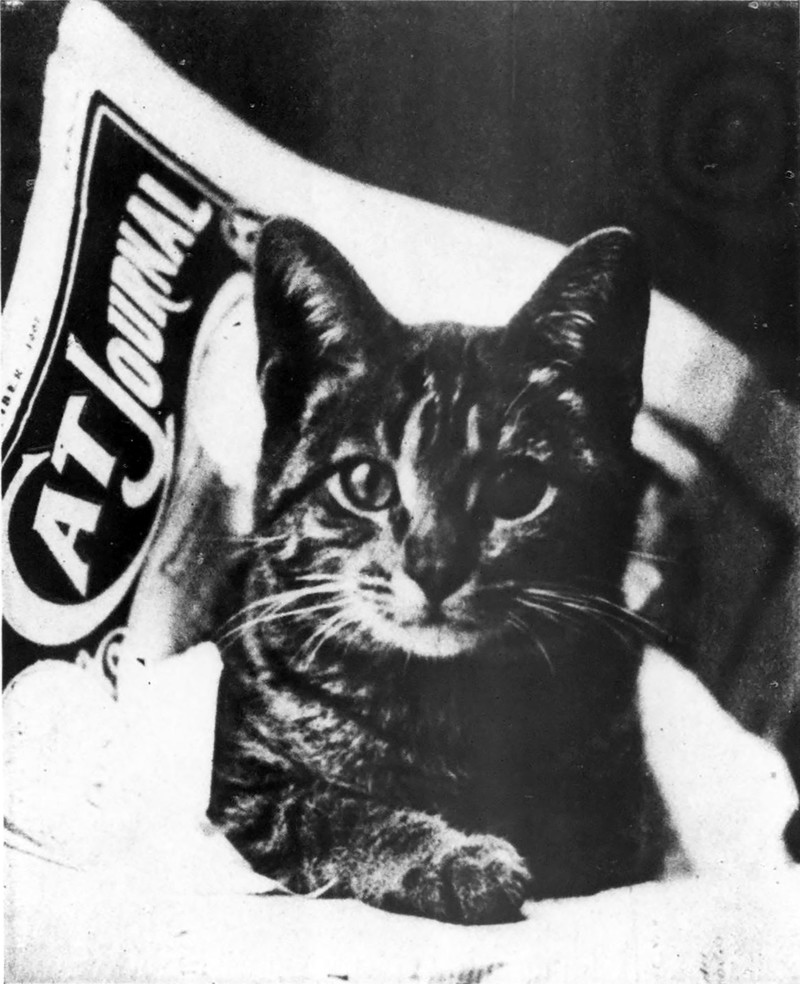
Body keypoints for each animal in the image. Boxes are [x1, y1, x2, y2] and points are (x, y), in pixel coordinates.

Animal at [208, 216, 668, 924]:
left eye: (517, 488)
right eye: (365, 482)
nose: (434, 566)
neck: (443, 700)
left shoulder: (625, 809)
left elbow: (562, 825)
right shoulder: (247, 789)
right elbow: (333, 813)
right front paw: (455, 859)